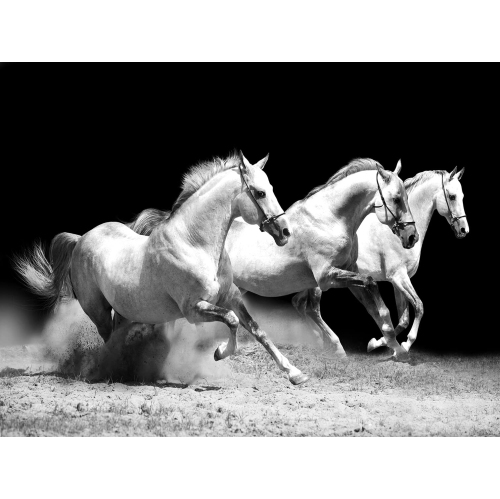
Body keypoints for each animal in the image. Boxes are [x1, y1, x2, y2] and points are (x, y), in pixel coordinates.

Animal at [14, 152, 308, 386]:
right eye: (259, 192)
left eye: (270, 187)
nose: (285, 232)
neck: (194, 243)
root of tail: (80, 239)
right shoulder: (193, 309)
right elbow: (233, 321)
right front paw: (219, 353)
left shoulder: (230, 297)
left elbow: (257, 330)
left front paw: (295, 373)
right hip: (97, 310)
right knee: (108, 340)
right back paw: (110, 372)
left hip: (126, 312)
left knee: (116, 338)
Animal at [356, 166, 468, 354]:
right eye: (452, 196)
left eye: (462, 196)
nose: (464, 230)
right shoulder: (399, 277)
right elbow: (419, 306)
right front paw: (407, 343)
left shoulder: (398, 281)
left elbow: (403, 320)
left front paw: (377, 343)